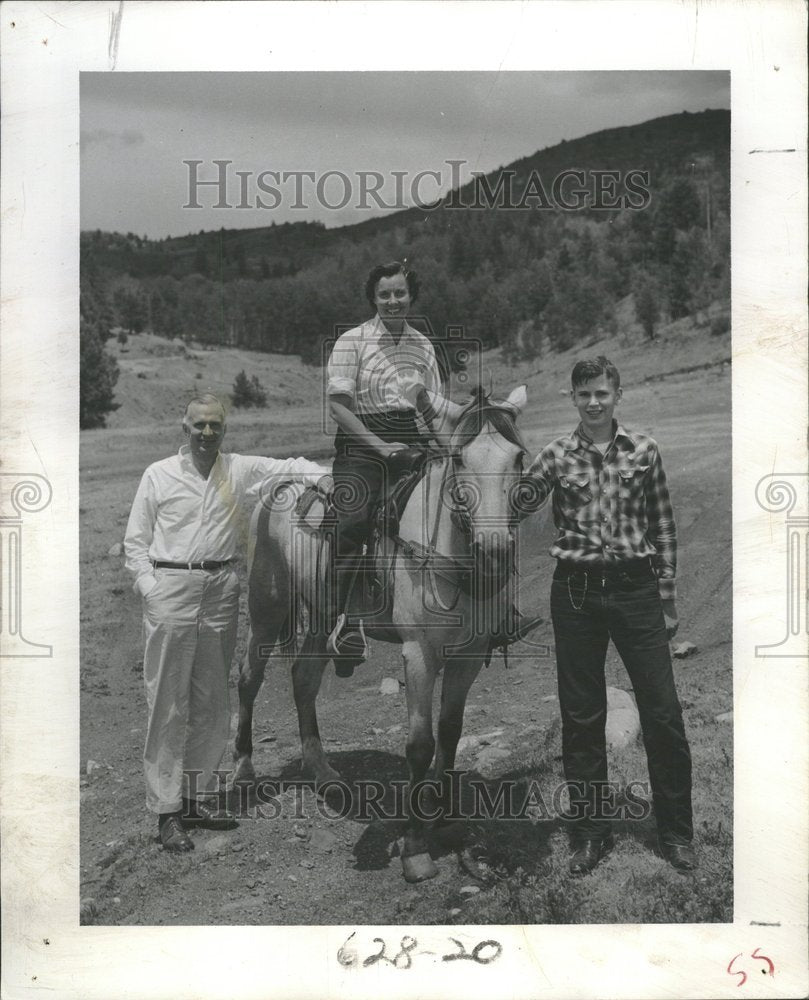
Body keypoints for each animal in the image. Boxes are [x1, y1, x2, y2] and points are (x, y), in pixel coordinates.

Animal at [234, 384, 536, 884]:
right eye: (460, 459)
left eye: (518, 458)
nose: (493, 550)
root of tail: (276, 487)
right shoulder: (420, 654)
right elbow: (420, 745)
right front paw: (415, 848)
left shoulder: (469, 655)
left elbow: (450, 733)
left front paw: (447, 821)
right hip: (267, 608)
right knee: (248, 679)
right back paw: (243, 770)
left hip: (322, 616)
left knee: (303, 680)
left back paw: (323, 773)